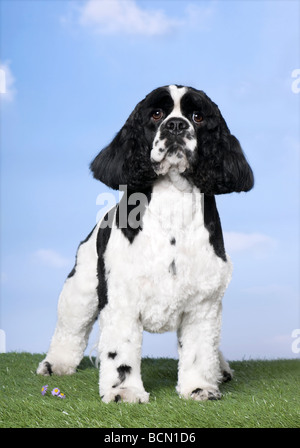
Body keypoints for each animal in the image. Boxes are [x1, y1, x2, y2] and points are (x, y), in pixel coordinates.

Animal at [36, 84, 254, 402]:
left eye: (198, 116)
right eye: (157, 113)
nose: (176, 125)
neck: (172, 199)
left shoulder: (203, 303)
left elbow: (200, 351)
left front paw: (199, 387)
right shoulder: (121, 299)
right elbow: (121, 351)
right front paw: (124, 391)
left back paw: (221, 369)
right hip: (82, 289)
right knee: (70, 329)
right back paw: (55, 364)